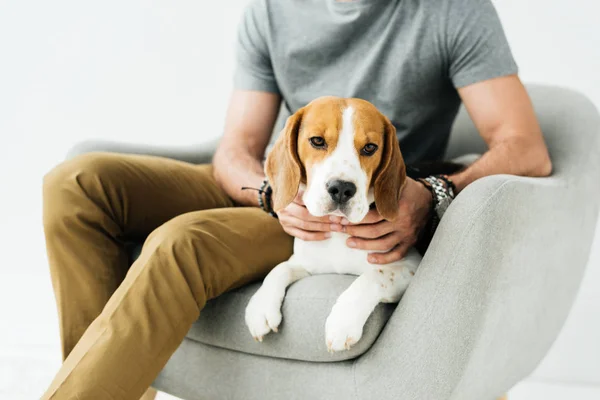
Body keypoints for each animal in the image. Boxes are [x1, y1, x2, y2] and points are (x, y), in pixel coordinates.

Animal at [244, 97, 422, 354]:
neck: (339, 230)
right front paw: (260, 306)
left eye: (370, 147)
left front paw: (343, 322)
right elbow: (279, 268)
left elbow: (373, 276)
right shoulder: (307, 263)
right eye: (317, 141)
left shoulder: (411, 265)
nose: (341, 188)